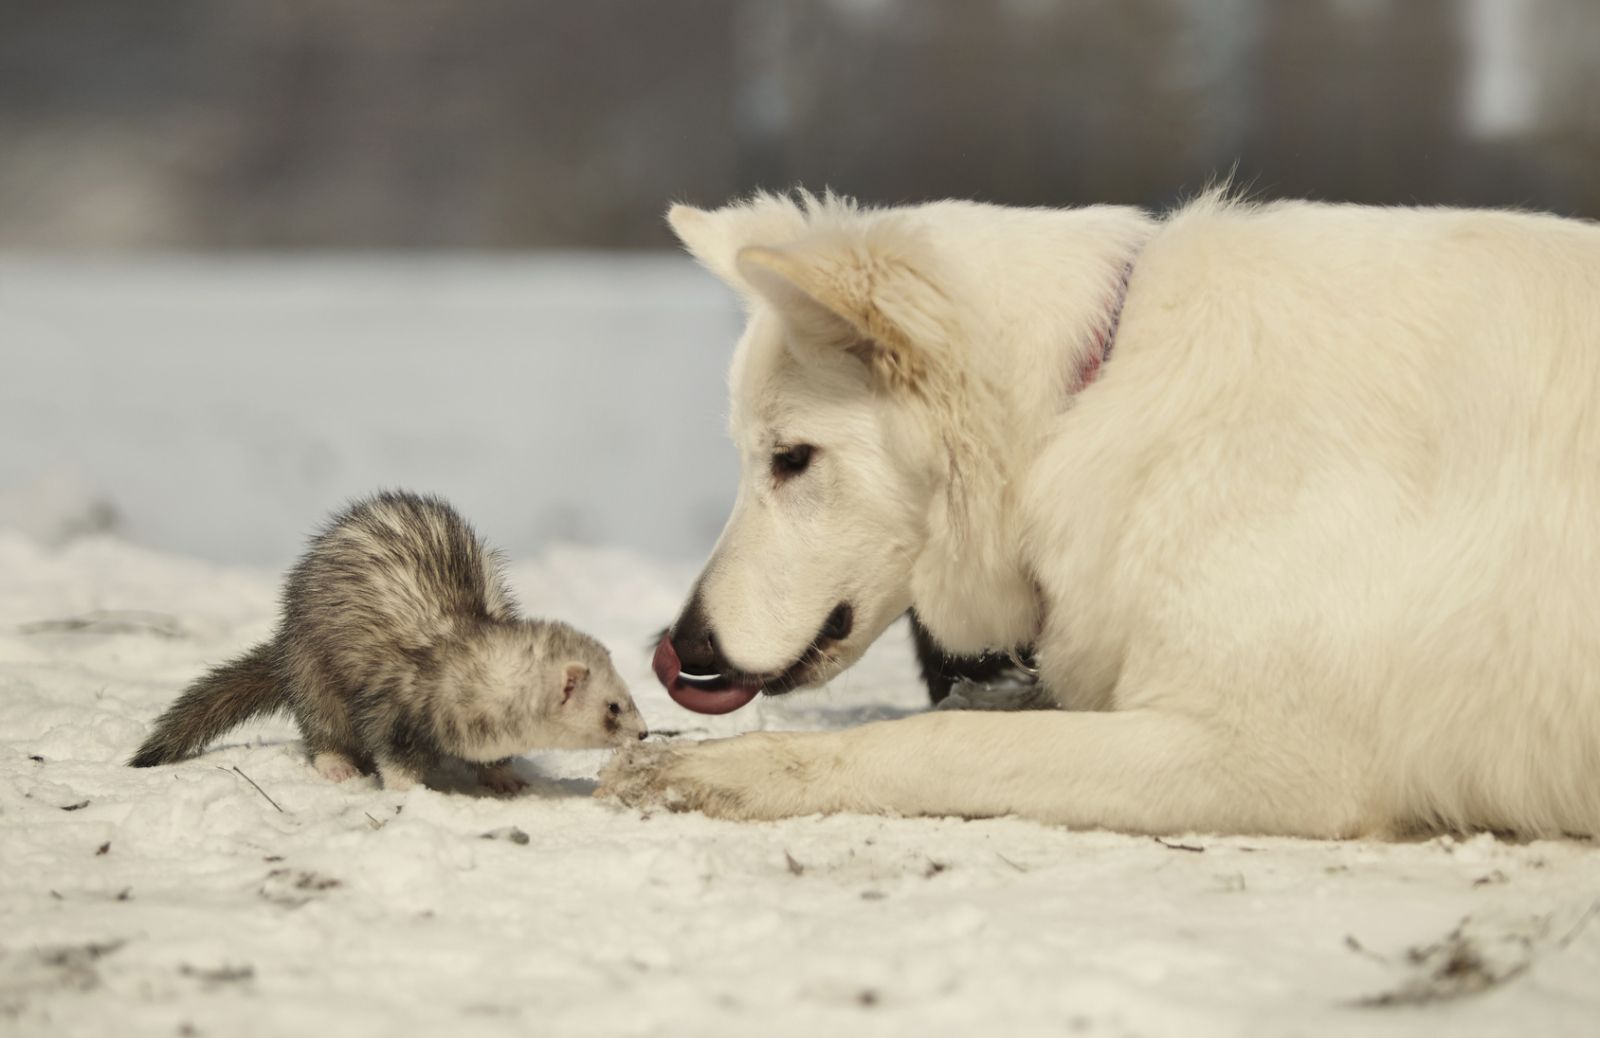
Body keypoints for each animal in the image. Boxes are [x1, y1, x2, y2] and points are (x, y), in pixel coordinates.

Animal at [598, 187, 1600, 831]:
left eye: (792, 460)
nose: (682, 646)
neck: (1082, 399)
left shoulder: (1269, 753)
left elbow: (943, 738)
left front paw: (737, 770)